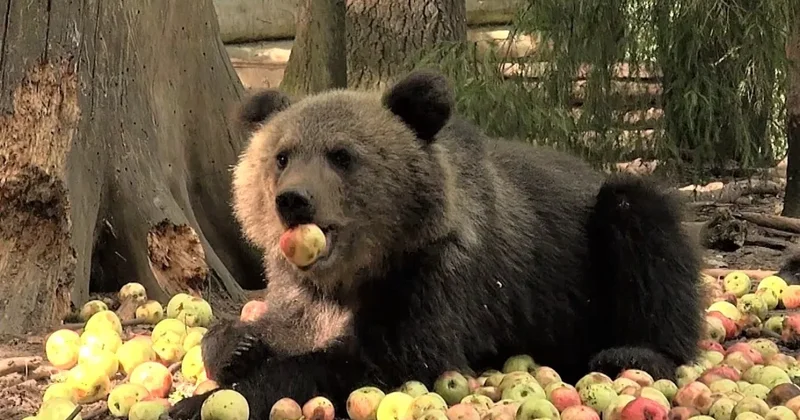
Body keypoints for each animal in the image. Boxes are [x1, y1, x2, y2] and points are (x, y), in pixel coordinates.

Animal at [169, 69, 704, 420]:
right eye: (282, 156)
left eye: (341, 155)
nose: (293, 201)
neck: (362, 268)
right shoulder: (305, 291)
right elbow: (285, 324)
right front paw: (236, 345)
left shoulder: (438, 278)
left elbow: (382, 360)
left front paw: (196, 404)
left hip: (596, 241)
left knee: (643, 225)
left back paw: (633, 354)